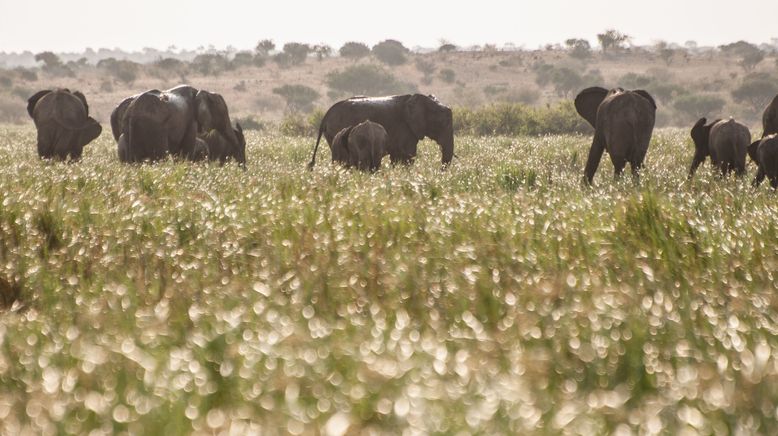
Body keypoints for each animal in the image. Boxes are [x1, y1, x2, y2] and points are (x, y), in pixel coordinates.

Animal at [110, 85, 241, 164]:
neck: (202, 92)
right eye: (223, 114)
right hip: (155, 130)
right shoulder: (191, 120)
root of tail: (132, 113)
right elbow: (186, 150)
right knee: (159, 157)